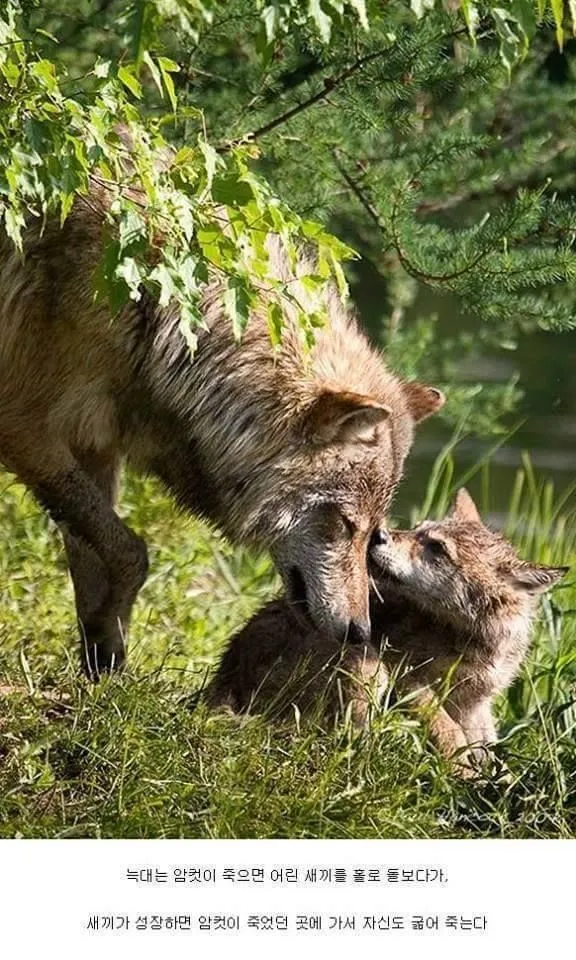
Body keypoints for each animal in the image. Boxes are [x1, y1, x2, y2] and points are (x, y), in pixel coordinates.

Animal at [0, 184, 446, 680]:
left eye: (373, 533)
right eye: (344, 525)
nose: (360, 632)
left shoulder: (93, 444)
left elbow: (91, 559)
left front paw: (102, 662)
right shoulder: (25, 429)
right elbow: (131, 552)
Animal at [207, 492, 568, 776]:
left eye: (437, 548)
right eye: (418, 528)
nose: (378, 534)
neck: (470, 635)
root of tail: (223, 681)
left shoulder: (476, 704)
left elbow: (487, 746)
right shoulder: (405, 674)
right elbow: (447, 730)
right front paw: (464, 773)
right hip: (368, 664)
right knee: (339, 738)